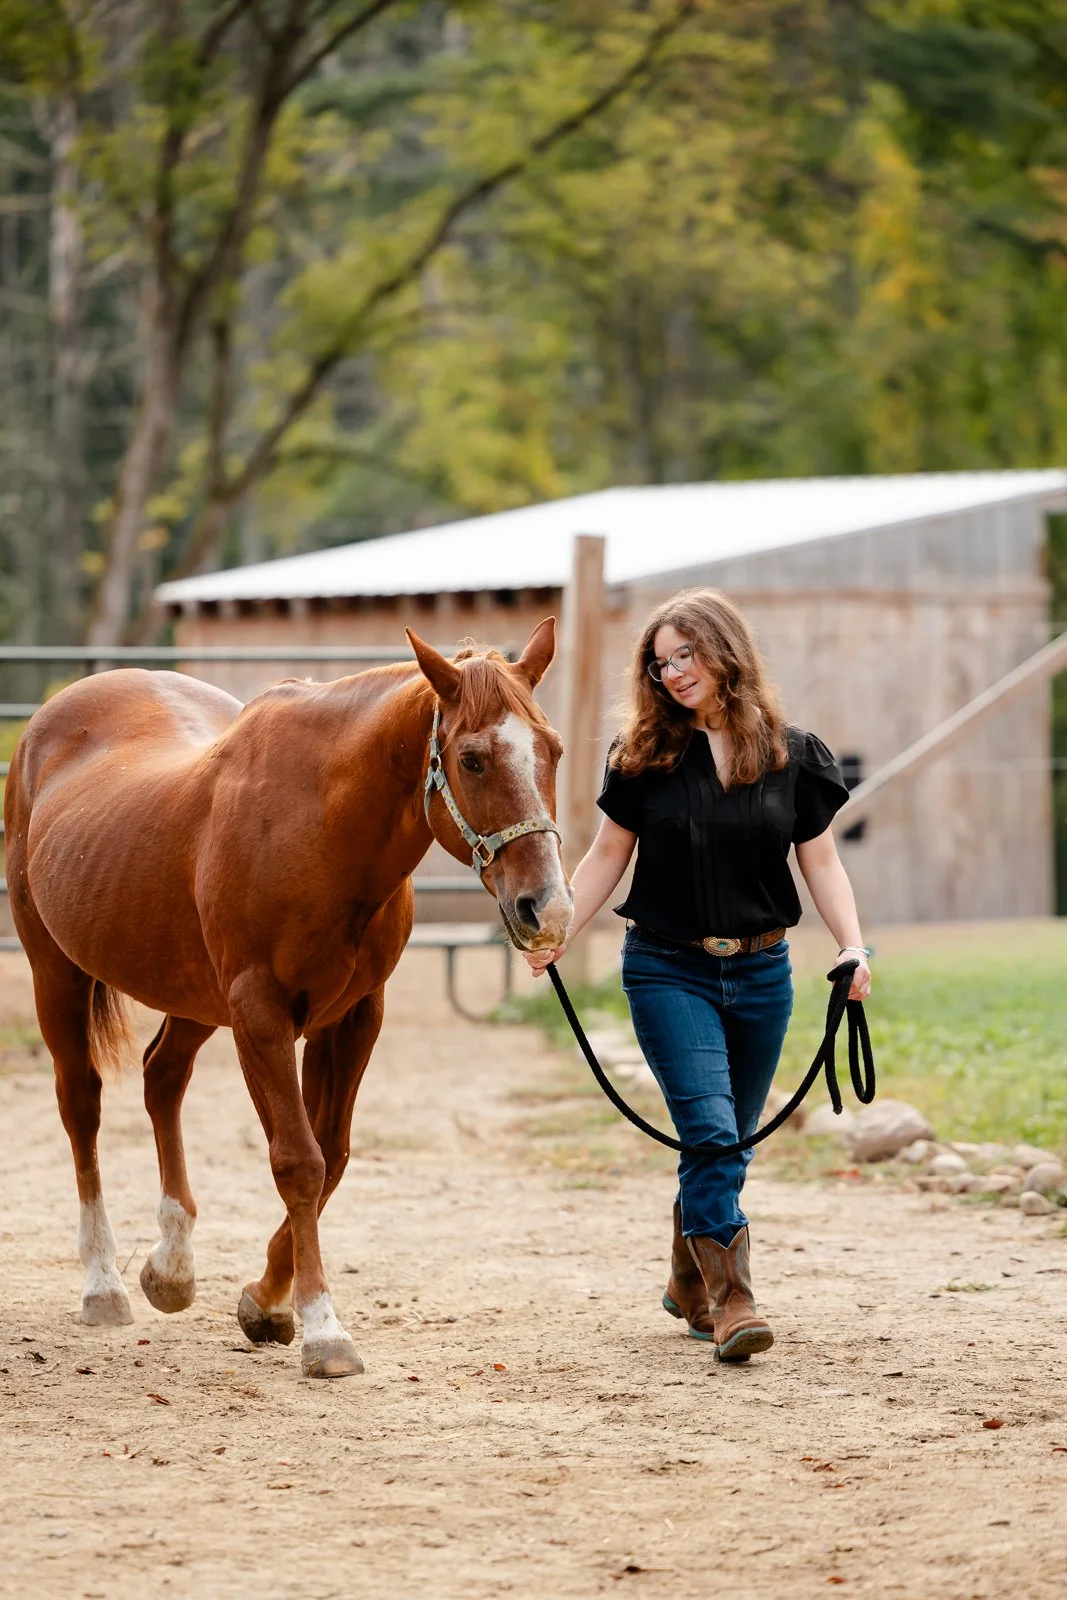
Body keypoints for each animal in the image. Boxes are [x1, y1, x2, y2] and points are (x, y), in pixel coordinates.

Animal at [4, 620, 572, 1379]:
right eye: (473, 759)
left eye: (553, 750)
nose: (548, 909)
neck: (321, 826)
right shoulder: (260, 1013)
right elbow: (298, 1161)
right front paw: (323, 1329)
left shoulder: (354, 1018)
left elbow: (332, 1154)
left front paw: (267, 1303)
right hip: (57, 975)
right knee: (82, 1106)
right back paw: (104, 1284)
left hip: (193, 998)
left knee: (162, 1078)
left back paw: (171, 1268)